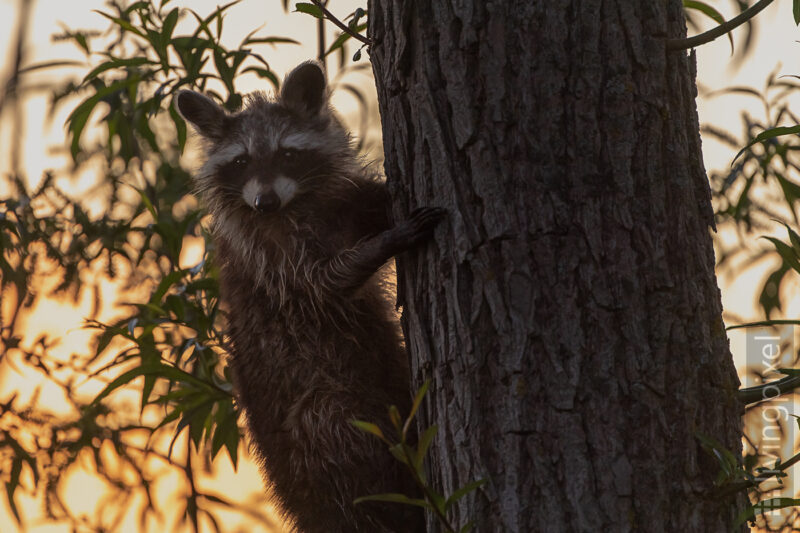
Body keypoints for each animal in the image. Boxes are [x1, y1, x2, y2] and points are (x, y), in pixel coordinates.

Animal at [174, 60, 444, 528]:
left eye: (287, 154)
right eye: (241, 161)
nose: (264, 201)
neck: (294, 205)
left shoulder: (338, 204)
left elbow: (366, 204)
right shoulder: (267, 255)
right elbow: (324, 282)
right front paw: (383, 245)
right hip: (320, 416)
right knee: (342, 435)